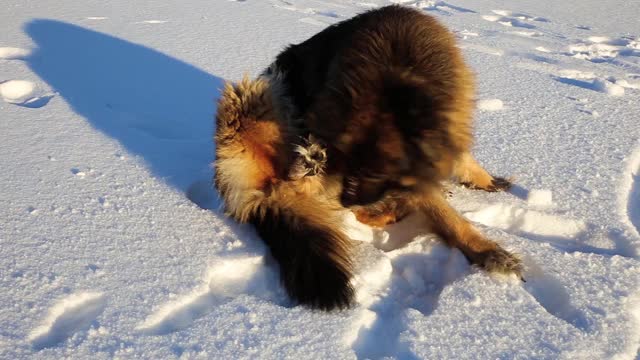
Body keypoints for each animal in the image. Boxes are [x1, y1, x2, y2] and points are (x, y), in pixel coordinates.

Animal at [214, 4, 520, 310]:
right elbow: (445, 214)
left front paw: (486, 181)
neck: (400, 71)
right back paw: (310, 164)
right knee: (289, 187)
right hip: (260, 93)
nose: (347, 199)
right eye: (347, 163)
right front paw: (487, 250)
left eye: (376, 172)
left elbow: (459, 161)